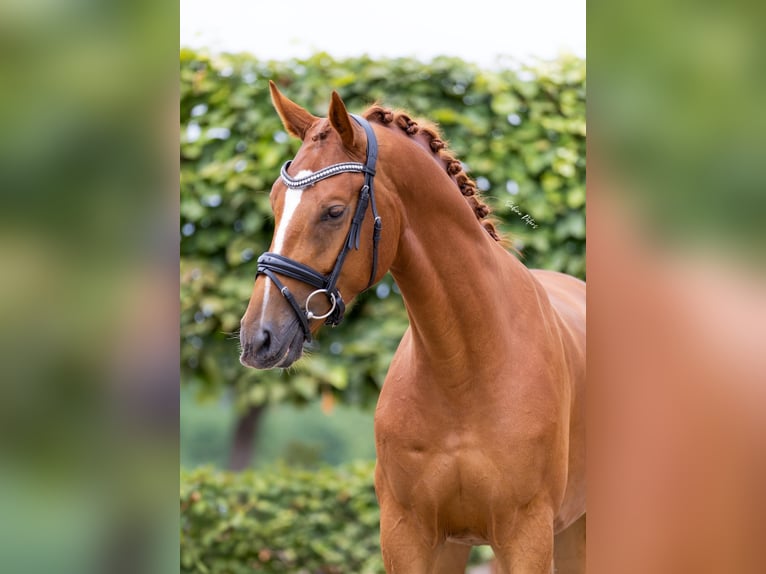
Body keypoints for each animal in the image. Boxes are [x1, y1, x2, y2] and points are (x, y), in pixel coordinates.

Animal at [239, 82, 586, 574]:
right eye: (273, 202)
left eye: (334, 211)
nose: (258, 337)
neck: (465, 367)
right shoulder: (409, 535)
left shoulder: (527, 536)